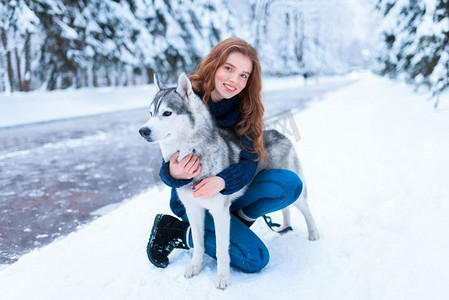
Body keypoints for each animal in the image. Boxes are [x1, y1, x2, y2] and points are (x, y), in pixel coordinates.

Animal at [140, 72, 318, 288]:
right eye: (150, 113)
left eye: (167, 113)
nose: (143, 130)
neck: (192, 151)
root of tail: (278, 133)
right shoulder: (194, 210)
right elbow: (198, 244)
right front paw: (195, 267)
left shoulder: (219, 213)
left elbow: (221, 250)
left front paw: (223, 278)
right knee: (286, 209)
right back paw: (284, 227)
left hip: (295, 184)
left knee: (304, 207)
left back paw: (313, 232)